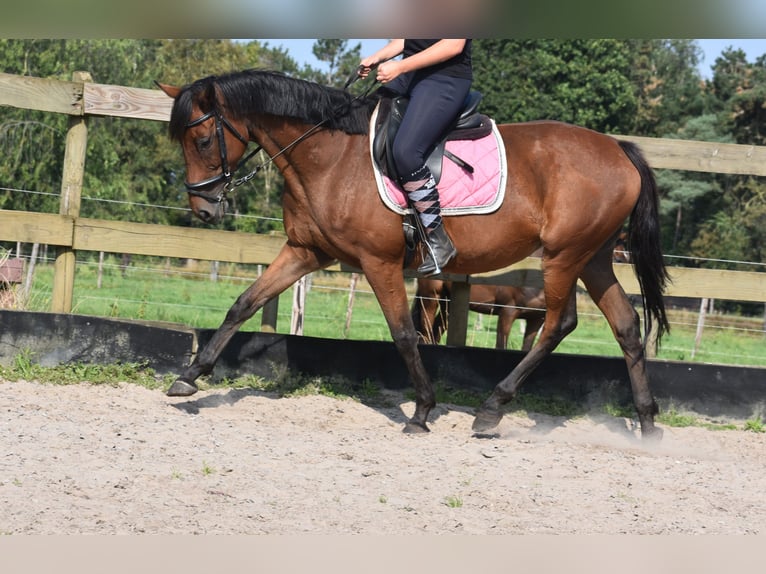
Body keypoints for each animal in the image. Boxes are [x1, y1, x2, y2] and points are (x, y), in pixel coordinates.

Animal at [414, 282, 544, 354]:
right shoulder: (507, 313)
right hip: (430, 298)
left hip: (448, 304)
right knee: (425, 332)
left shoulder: (536, 320)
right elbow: (501, 346)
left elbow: (527, 350)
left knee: (436, 330)